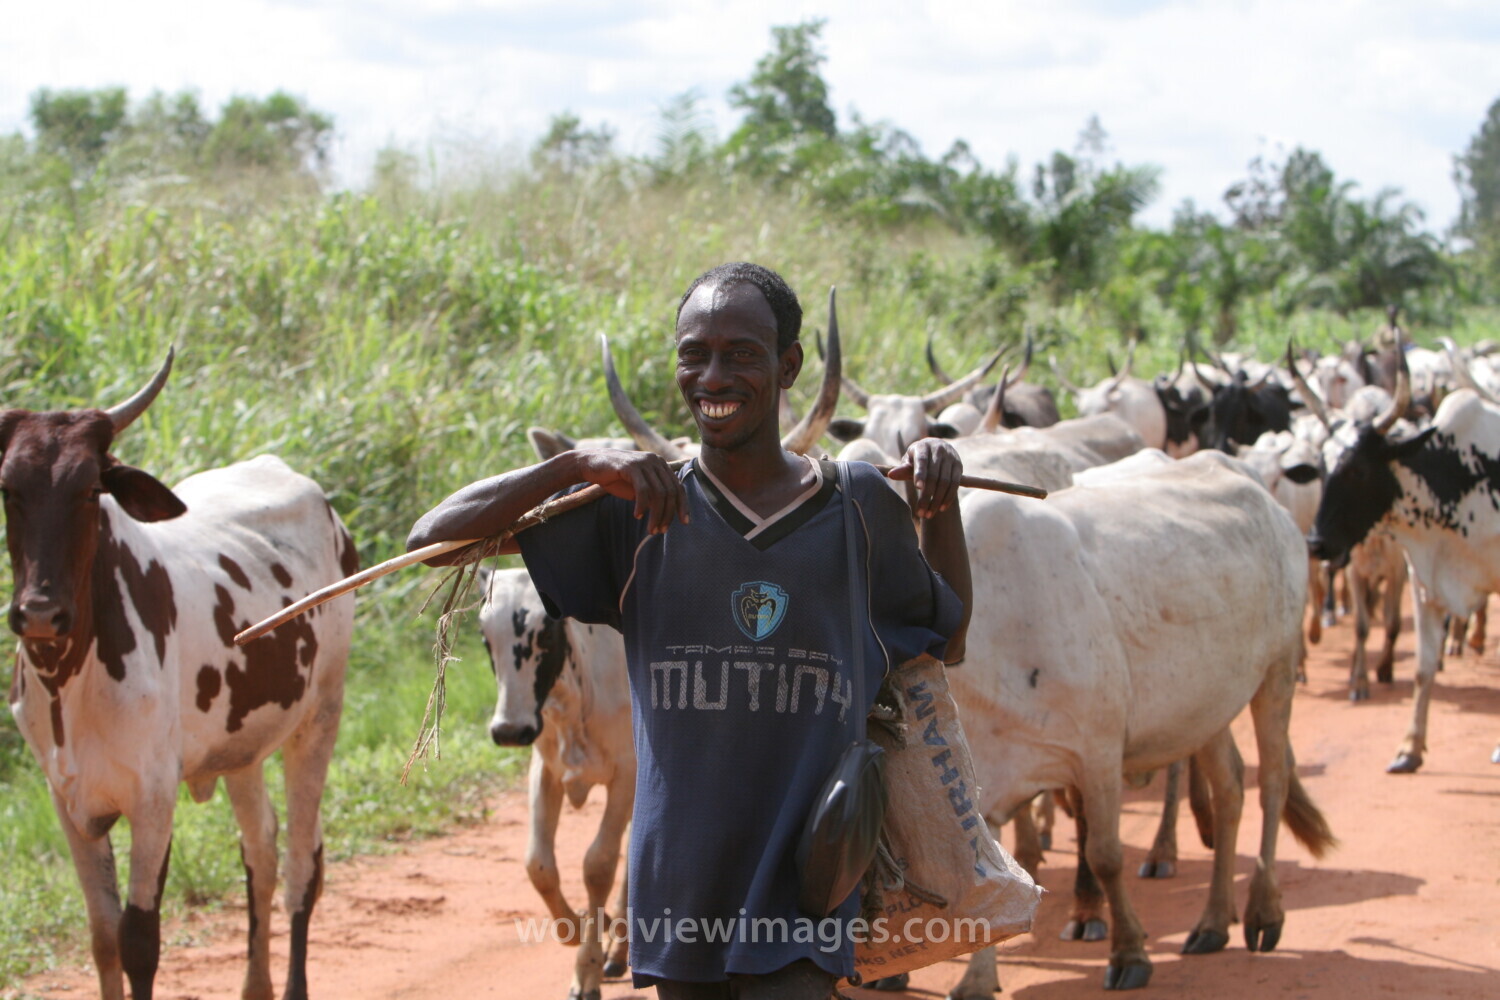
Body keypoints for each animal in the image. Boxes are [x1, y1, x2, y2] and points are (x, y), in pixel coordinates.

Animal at [3, 351, 356, 1000]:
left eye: (89, 489)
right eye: (9, 489)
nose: (39, 612)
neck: (71, 679)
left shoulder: (152, 797)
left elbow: (139, 941)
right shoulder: (67, 799)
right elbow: (103, 937)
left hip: (320, 716)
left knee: (303, 863)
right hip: (242, 746)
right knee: (261, 849)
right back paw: (255, 986)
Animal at [476, 566, 632, 1000]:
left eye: (545, 633)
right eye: (485, 637)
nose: (509, 730)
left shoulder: (628, 776)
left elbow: (598, 865)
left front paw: (586, 969)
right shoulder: (545, 770)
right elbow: (538, 865)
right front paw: (575, 928)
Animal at [944, 450, 1335, 995]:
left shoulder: (1098, 753)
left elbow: (1105, 855)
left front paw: (1129, 951)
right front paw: (977, 979)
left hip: (1277, 673)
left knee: (1274, 782)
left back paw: (1263, 910)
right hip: (1206, 705)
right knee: (1231, 787)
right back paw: (1214, 921)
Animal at [1310, 350, 1500, 772]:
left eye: (1358, 470)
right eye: (1321, 468)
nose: (1316, 543)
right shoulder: (1424, 581)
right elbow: (1422, 668)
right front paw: (1409, 749)